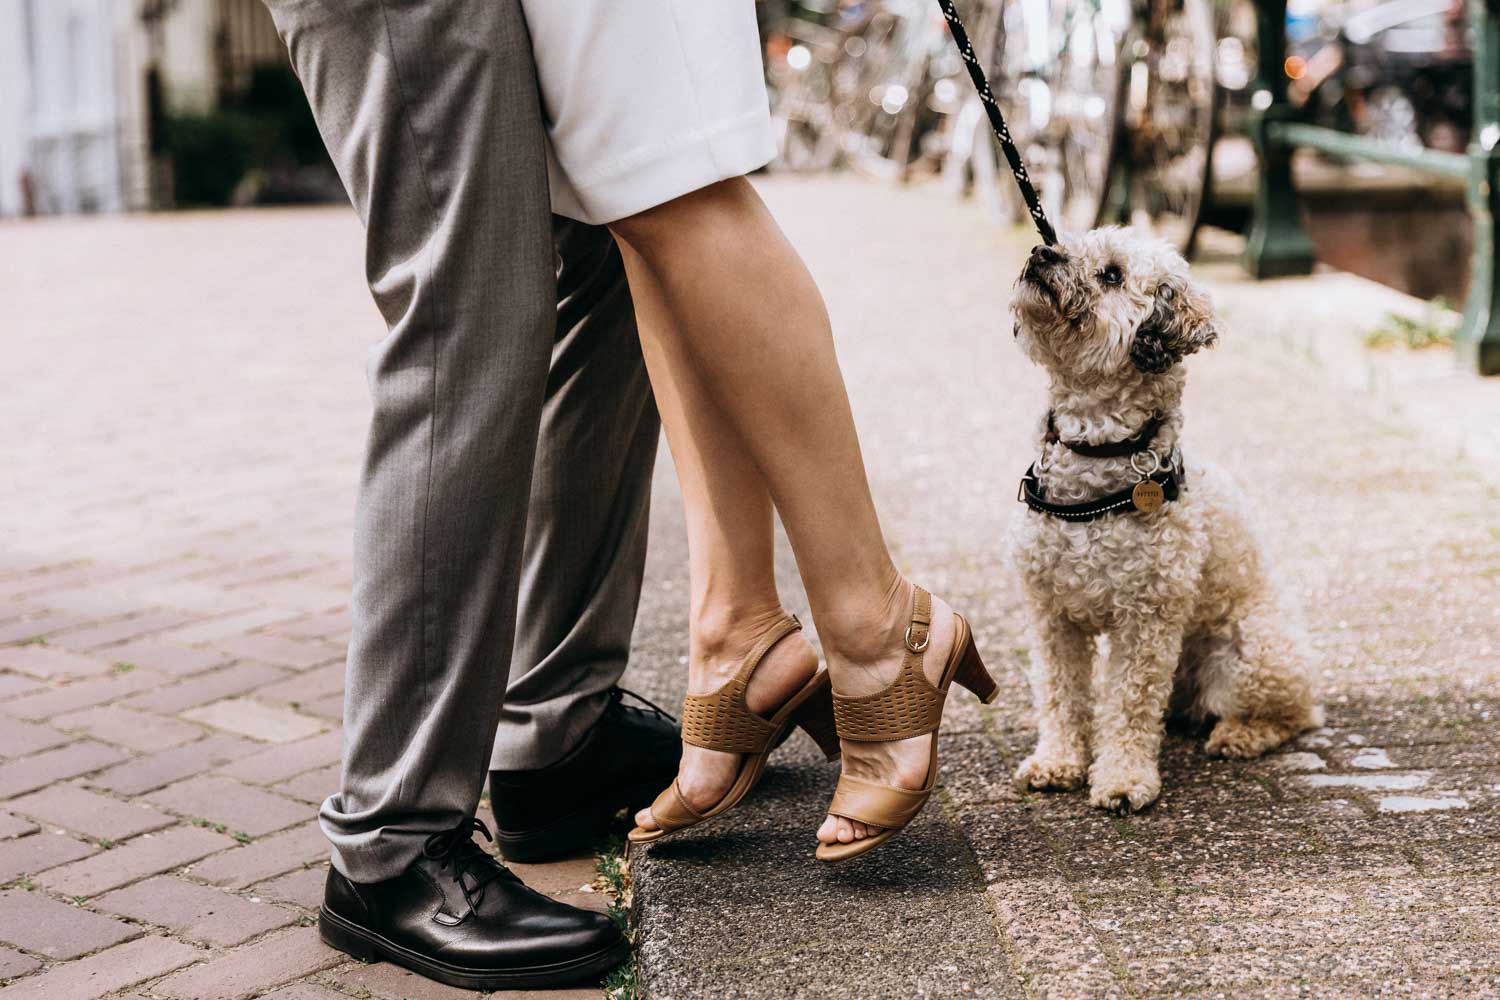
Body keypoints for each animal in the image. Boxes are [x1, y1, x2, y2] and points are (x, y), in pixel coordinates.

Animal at [1008, 226, 1326, 815]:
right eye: (1067, 240)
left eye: (1111, 273)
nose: (1041, 252)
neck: (1096, 455)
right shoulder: (1052, 616)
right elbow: (1062, 694)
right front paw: (1057, 762)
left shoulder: (1146, 623)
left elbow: (1129, 705)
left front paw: (1122, 780)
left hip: (1253, 653)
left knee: (1296, 713)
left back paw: (1239, 734)